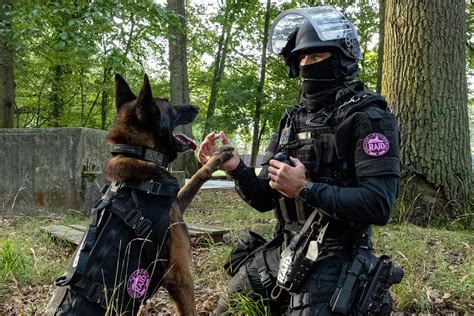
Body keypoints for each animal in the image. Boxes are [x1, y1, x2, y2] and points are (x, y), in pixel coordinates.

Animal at [46, 73, 233, 314]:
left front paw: (217, 156)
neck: (140, 154)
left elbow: (195, 179)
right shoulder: (179, 275)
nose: (196, 106)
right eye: (169, 106)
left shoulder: (175, 205)